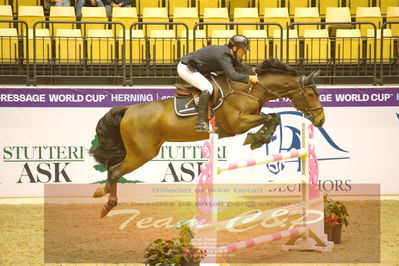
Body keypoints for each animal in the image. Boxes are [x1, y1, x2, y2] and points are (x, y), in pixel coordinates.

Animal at [90, 59, 324, 218]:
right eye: (311, 94)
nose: (321, 120)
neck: (249, 89)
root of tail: (128, 109)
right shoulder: (237, 123)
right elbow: (271, 117)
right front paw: (258, 138)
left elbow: (273, 117)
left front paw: (258, 138)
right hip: (142, 153)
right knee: (115, 171)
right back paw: (107, 204)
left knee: (113, 170)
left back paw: (101, 191)